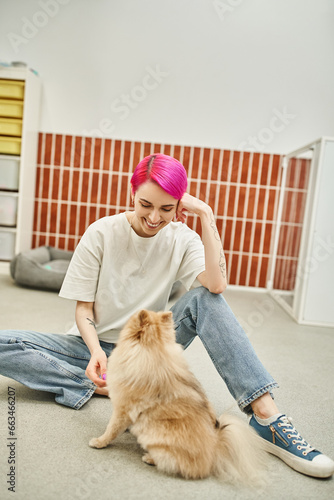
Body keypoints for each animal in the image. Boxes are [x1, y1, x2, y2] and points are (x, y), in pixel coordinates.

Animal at [88, 308, 266, 484]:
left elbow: (111, 429)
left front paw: (99, 442)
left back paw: (149, 458)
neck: (154, 351)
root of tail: (215, 449)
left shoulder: (122, 409)